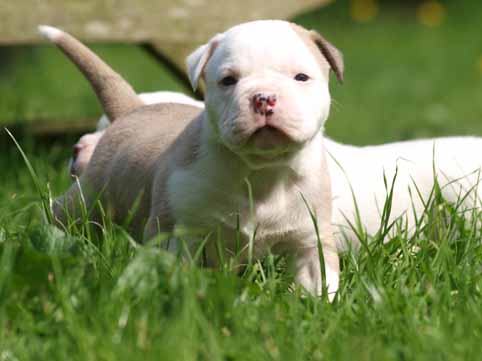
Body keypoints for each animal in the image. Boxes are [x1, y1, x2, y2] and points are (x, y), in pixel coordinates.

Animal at [40, 21, 342, 298]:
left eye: (301, 77)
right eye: (228, 80)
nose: (264, 98)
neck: (262, 170)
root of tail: (133, 109)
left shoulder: (311, 240)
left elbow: (318, 281)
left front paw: (315, 306)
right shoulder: (175, 230)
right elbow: (172, 269)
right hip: (89, 197)